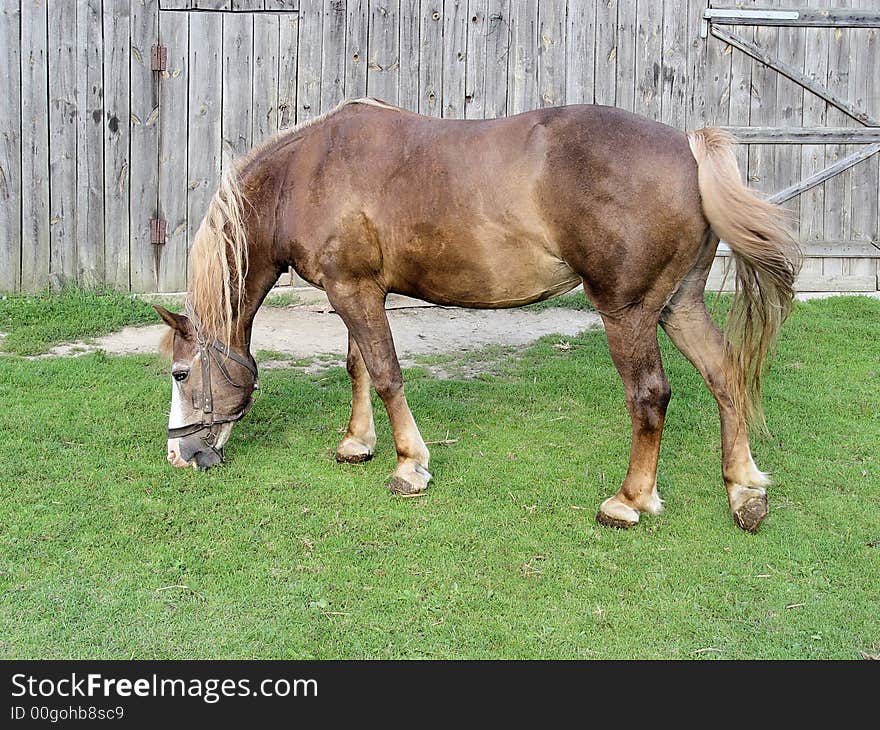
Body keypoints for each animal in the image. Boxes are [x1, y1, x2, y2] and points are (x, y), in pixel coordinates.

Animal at [155, 98, 800, 528]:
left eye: (180, 373)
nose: (179, 457)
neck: (306, 174)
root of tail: (688, 149)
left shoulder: (354, 292)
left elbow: (385, 374)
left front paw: (409, 466)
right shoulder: (356, 292)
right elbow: (358, 366)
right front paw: (356, 444)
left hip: (630, 313)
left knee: (650, 396)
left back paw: (629, 501)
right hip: (677, 305)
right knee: (725, 374)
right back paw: (745, 489)